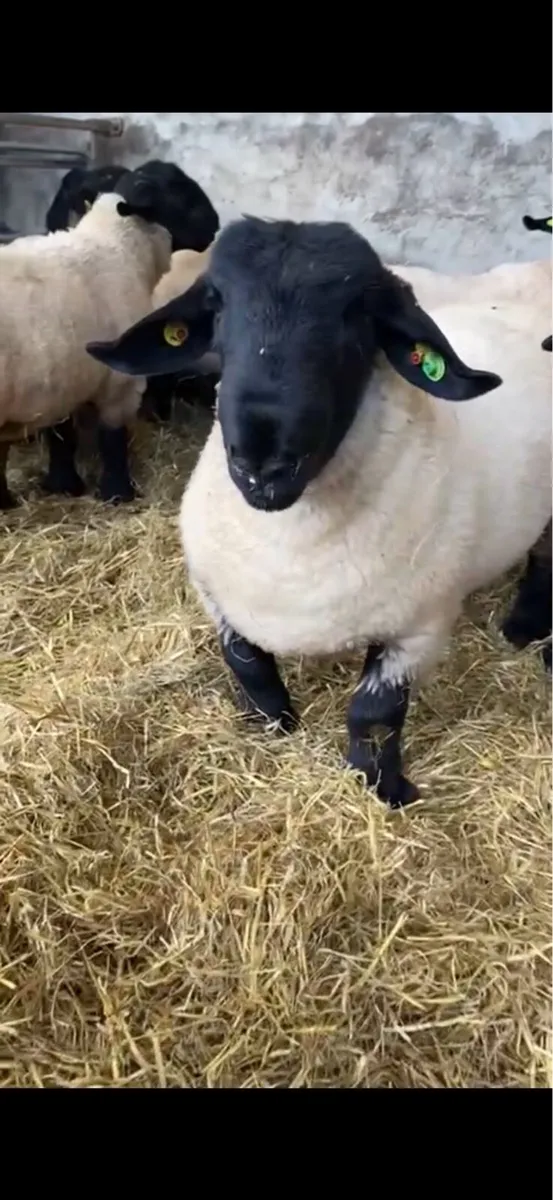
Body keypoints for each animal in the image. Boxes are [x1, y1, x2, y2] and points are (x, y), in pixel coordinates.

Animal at [0, 162, 219, 508]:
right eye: (178, 193)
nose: (215, 225)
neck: (117, 248)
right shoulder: (119, 381)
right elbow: (112, 440)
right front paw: (118, 492)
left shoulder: (65, 376)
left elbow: (62, 436)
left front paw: (63, 485)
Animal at [87, 216, 552, 808]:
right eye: (217, 305)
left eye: (358, 316)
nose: (263, 464)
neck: (289, 541)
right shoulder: (219, 598)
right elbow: (249, 668)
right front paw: (271, 728)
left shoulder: (418, 627)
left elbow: (373, 713)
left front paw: (383, 788)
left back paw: (525, 630)